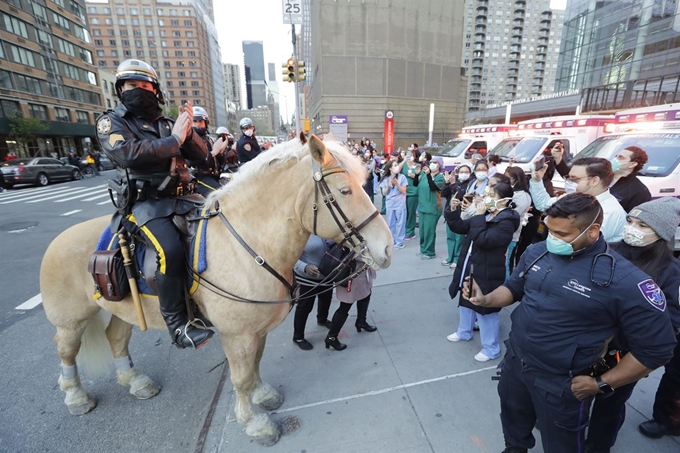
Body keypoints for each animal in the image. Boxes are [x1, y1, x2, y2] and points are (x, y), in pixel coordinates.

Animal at [41, 134, 394, 444]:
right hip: (71, 320)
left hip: (120, 307)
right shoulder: (237, 335)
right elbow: (241, 377)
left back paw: (135, 382)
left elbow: (255, 366)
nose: (388, 248)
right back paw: (76, 396)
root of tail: (57, 240)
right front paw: (253, 423)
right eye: (345, 190)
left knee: (115, 338)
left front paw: (262, 395)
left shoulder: (256, 331)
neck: (250, 243)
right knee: (65, 350)